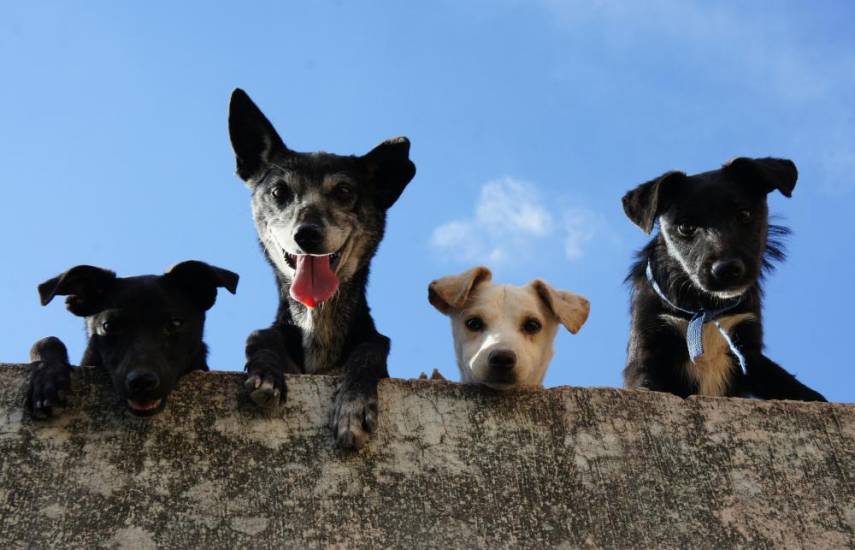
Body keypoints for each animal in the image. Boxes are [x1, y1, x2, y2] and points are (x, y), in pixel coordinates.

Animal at [226, 88, 416, 450]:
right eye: (279, 191)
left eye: (344, 191)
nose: (307, 234)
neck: (318, 324)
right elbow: (259, 337)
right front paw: (266, 373)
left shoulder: (373, 347)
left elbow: (369, 351)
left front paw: (354, 405)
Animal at [624, 157, 824, 404]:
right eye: (686, 227)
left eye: (744, 214)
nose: (727, 269)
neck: (705, 309)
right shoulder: (648, 347)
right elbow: (646, 385)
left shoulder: (748, 352)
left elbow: (791, 386)